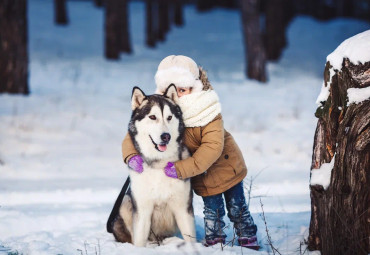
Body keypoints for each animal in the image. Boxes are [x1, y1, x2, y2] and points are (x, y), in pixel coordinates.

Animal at [111, 85, 195, 247]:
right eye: (152, 117)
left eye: (169, 117)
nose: (166, 136)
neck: (159, 164)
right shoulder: (142, 209)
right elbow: (139, 240)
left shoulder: (183, 208)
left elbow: (190, 238)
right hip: (126, 202)